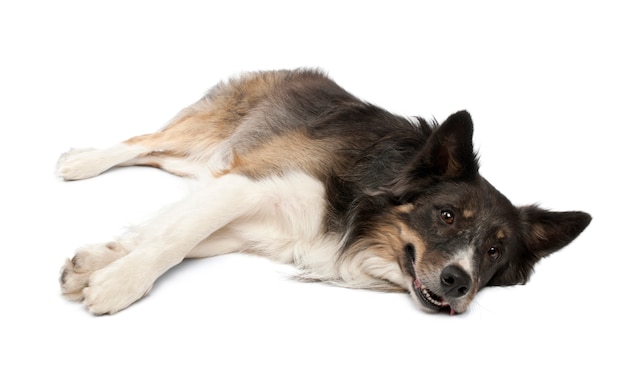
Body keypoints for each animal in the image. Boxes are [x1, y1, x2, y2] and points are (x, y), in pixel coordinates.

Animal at [58, 68, 588, 314]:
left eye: (495, 251)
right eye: (447, 216)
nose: (459, 282)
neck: (360, 211)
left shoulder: (255, 222)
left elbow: (174, 235)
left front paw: (98, 262)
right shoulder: (248, 184)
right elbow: (173, 241)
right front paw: (119, 283)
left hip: (211, 158)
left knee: (160, 158)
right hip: (209, 132)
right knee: (141, 142)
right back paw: (81, 161)